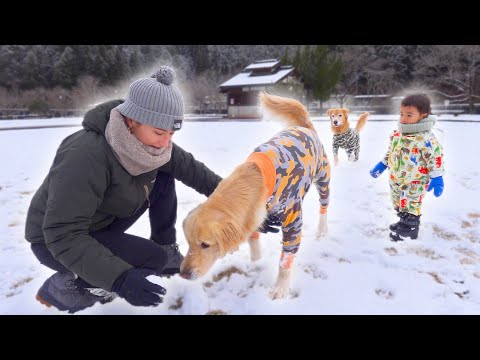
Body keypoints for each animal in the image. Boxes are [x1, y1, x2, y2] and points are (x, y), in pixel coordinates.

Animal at [180, 91, 330, 300]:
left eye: (205, 245)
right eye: (188, 243)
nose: (183, 274)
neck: (254, 182)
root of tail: (304, 126)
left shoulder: (293, 221)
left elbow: (285, 262)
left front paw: (280, 289)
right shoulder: (252, 218)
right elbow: (253, 241)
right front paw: (256, 263)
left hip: (323, 178)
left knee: (324, 207)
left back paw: (322, 230)